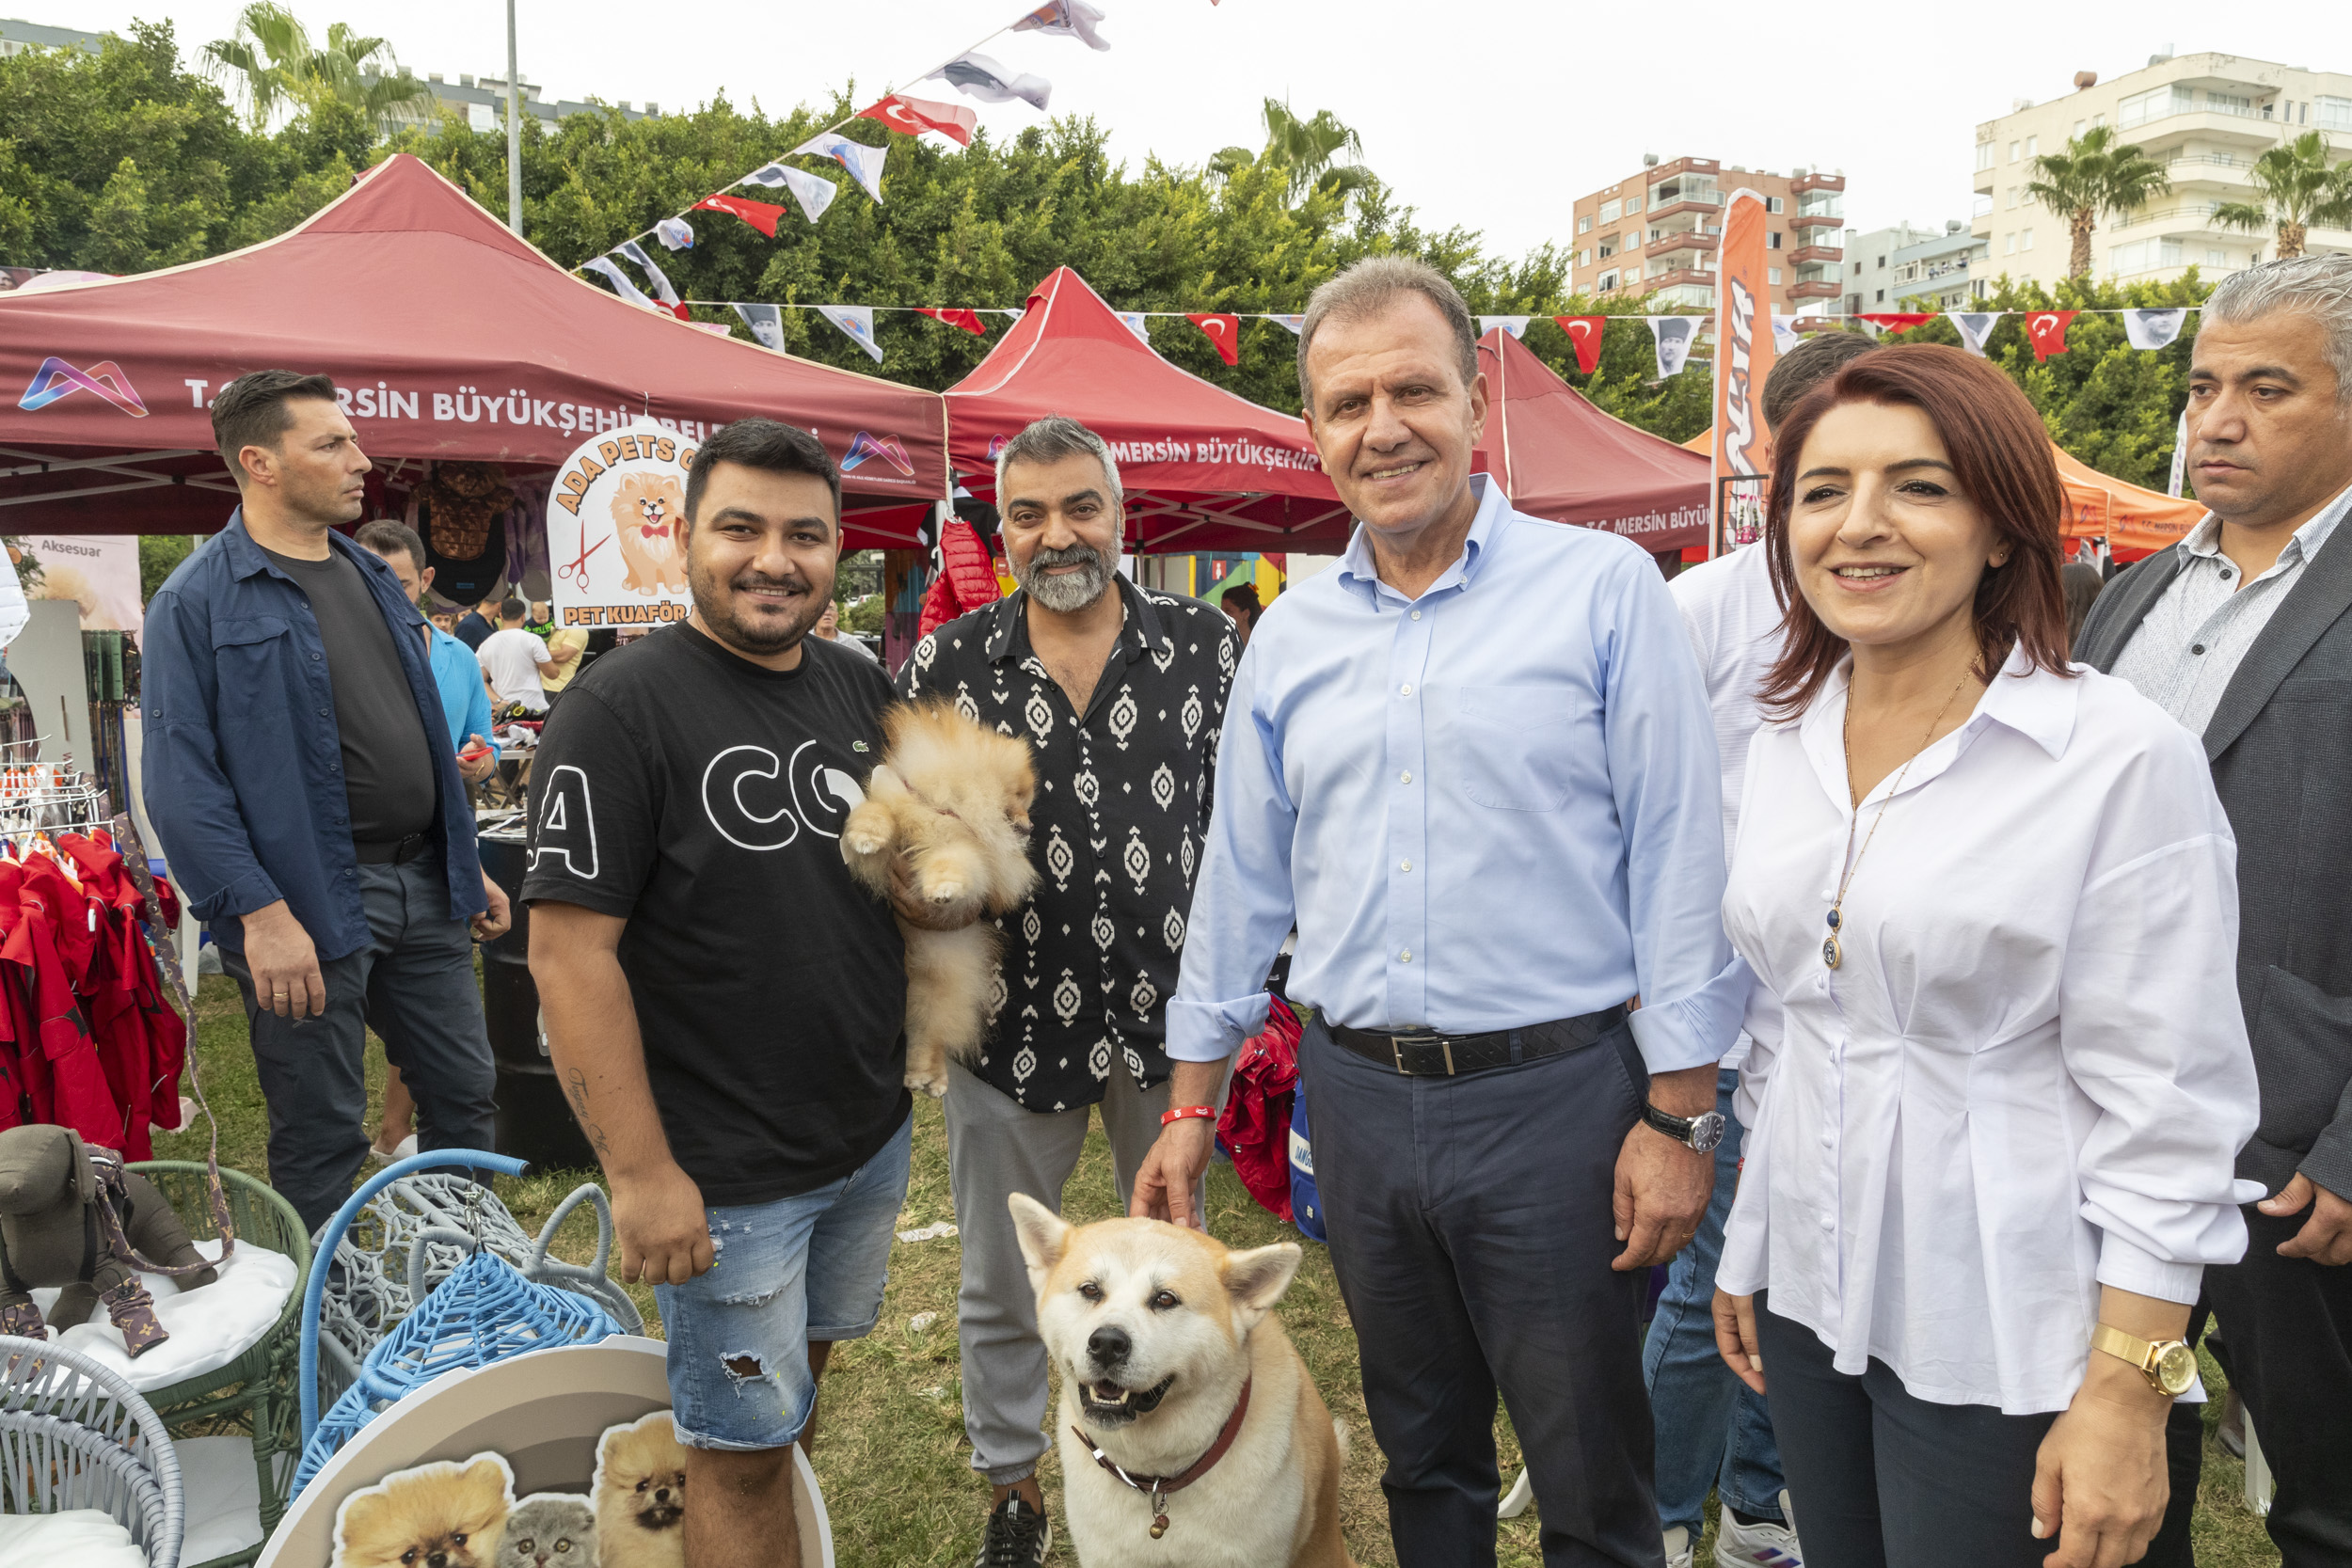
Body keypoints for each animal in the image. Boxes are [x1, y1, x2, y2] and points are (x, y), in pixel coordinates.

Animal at [842, 705, 1035, 1100]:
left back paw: (930, 1079)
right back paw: (922, 1077)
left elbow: (953, 863)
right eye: (1018, 799)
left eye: (1027, 803)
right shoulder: (890, 841)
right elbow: (876, 814)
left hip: (938, 992)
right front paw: (865, 836)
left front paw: (943, 889)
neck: (944, 805)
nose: (1030, 827)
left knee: (932, 1035)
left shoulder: (966, 851)